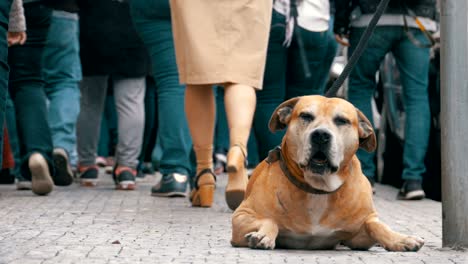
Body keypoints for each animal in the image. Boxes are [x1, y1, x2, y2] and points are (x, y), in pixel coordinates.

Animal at [230, 96, 424, 251]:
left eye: (342, 121)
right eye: (306, 116)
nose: (321, 135)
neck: (319, 188)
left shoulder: (357, 236)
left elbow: (375, 225)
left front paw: (400, 239)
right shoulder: (242, 216)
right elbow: (270, 220)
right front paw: (263, 235)